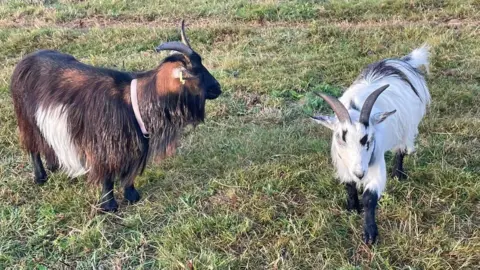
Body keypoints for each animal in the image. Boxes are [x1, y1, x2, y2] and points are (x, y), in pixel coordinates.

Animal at [9, 20, 221, 211]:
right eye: (196, 72)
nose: (218, 88)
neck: (133, 101)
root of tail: (26, 60)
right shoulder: (103, 145)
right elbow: (108, 176)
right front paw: (109, 205)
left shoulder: (133, 145)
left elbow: (129, 173)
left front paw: (132, 196)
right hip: (26, 118)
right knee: (33, 147)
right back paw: (40, 177)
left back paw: (54, 166)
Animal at [312, 46, 432, 245]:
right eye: (341, 138)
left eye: (368, 140)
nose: (360, 174)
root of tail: (397, 63)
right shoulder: (344, 165)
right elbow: (349, 186)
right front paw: (353, 208)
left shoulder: (375, 161)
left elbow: (370, 197)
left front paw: (370, 234)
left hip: (407, 129)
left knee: (401, 150)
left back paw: (398, 174)